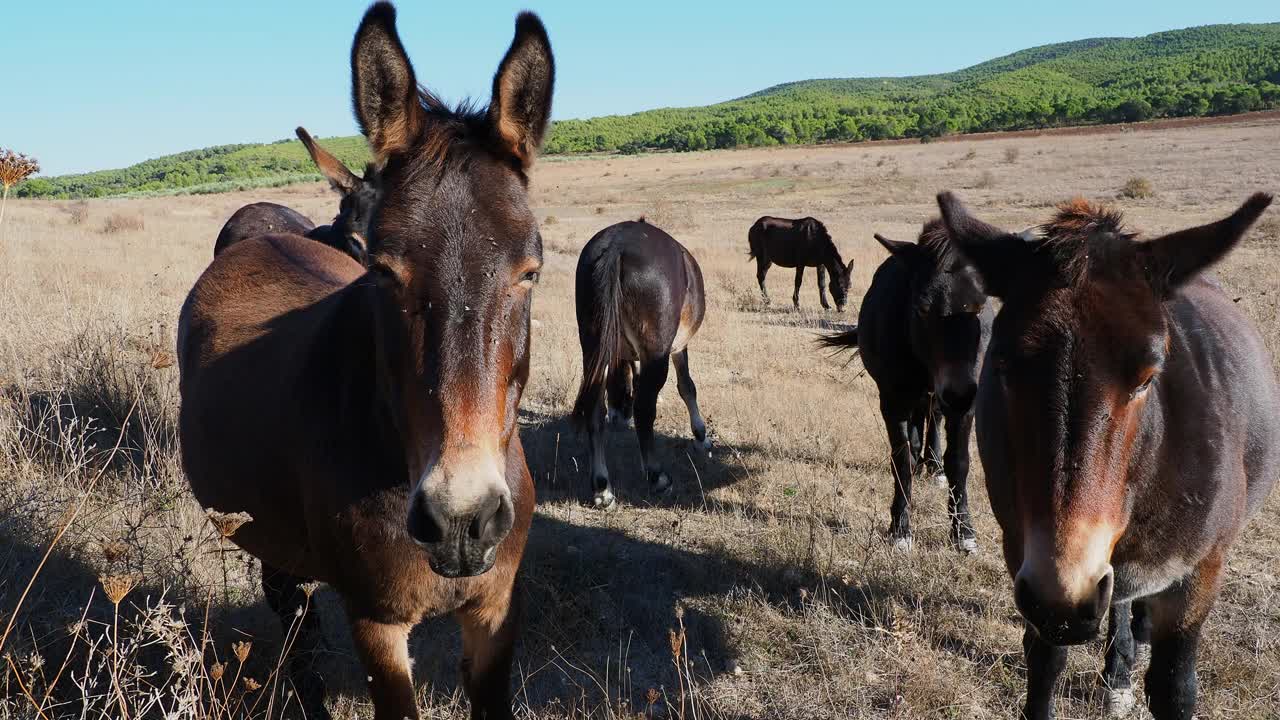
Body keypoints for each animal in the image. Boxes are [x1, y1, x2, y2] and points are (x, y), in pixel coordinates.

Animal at [573, 219, 711, 504]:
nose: (620, 414)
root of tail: (617, 246)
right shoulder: (677, 347)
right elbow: (687, 387)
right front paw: (701, 436)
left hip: (592, 346)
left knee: (594, 410)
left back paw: (602, 485)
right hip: (655, 352)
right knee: (645, 409)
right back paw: (657, 476)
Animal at [824, 221, 993, 550]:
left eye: (979, 307)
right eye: (922, 308)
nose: (959, 393)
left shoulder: (965, 408)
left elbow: (959, 462)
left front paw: (963, 532)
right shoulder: (893, 400)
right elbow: (901, 459)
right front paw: (900, 529)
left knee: (933, 419)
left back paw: (933, 464)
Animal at [936, 190, 1274, 717]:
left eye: (1149, 376)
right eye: (1003, 365)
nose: (1065, 596)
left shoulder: (1199, 574)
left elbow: (1176, 688)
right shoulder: (1025, 555)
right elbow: (1044, 666)